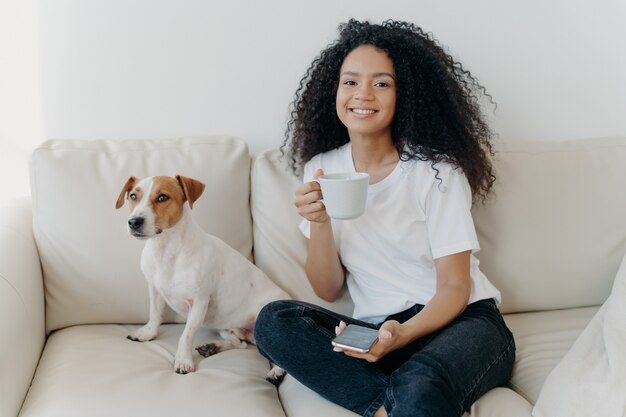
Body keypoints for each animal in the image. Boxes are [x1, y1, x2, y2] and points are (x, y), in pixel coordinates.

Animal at [116, 173, 286, 384]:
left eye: (162, 197)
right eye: (133, 196)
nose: (134, 222)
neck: (166, 249)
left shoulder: (199, 302)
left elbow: (187, 334)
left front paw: (183, 360)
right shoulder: (154, 290)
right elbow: (155, 314)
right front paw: (147, 333)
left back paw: (276, 372)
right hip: (226, 327)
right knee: (240, 344)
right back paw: (214, 347)